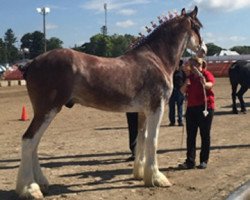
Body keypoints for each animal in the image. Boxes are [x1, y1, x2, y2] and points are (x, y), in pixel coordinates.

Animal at [16, 6, 206, 200]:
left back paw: (41, 183)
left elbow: (141, 138)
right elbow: (152, 141)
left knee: (34, 143)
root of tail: (32, 63)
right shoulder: (156, 108)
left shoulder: (143, 111)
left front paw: (139, 173)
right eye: (198, 27)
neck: (156, 58)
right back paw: (30, 189)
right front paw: (157, 178)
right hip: (47, 110)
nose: (204, 50)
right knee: (29, 140)